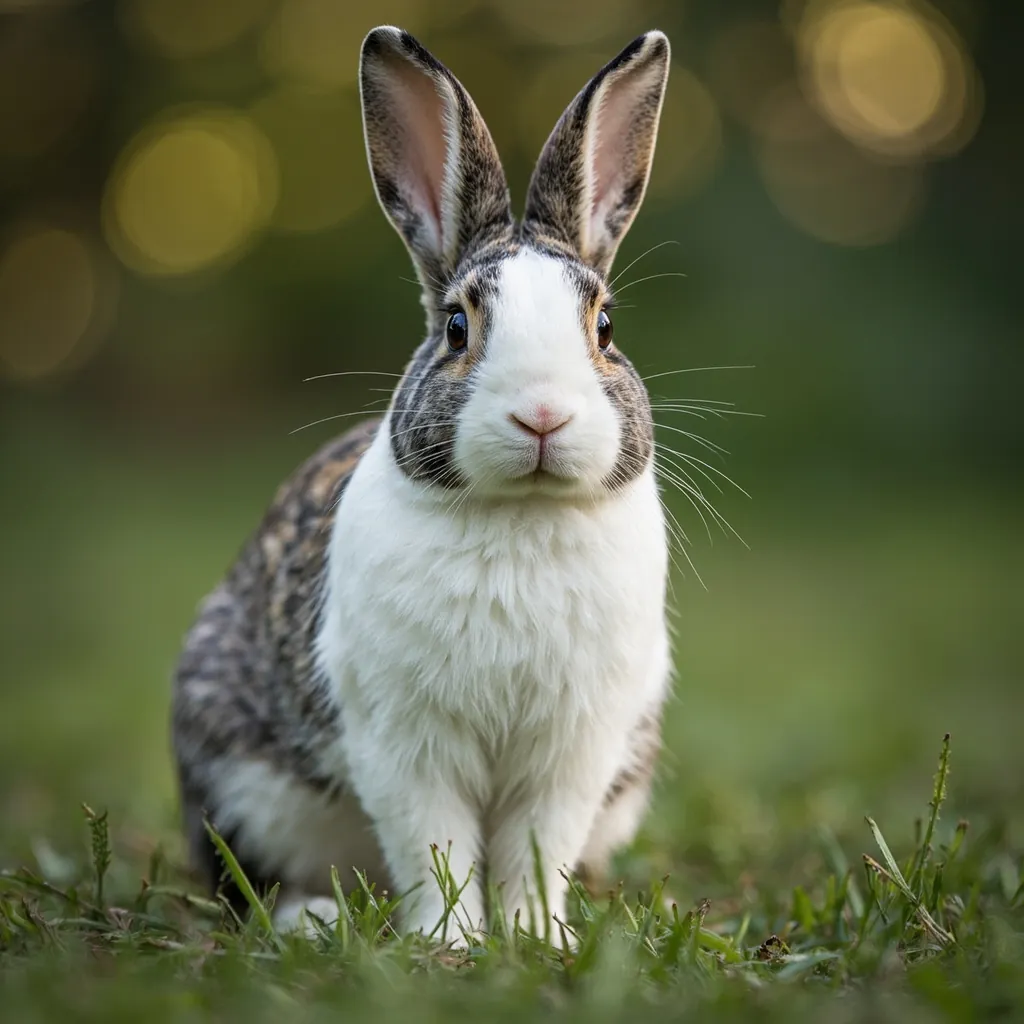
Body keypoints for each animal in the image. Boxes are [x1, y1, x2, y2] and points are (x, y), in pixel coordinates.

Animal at [172, 25, 673, 944]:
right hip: (234, 781)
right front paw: (453, 941)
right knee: (255, 881)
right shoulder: (404, 742)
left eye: (606, 327)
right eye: (457, 327)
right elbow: (432, 841)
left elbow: (537, 846)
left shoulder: (573, 749)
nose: (542, 414)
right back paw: (316, 919)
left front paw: (535, 936)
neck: (522, 515)